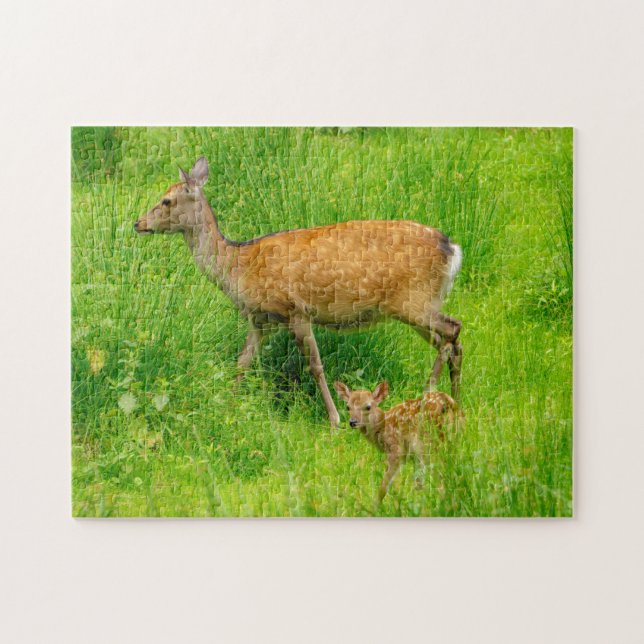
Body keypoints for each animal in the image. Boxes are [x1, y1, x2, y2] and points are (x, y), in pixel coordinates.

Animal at [134, 156, 463, 429]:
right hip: (418, 305)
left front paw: (335, 419)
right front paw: (228, 405)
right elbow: (242, 361)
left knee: (452, 329)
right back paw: (454, 400)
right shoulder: (261, 320)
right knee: (449, 341)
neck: (239, 267)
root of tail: (453, 249)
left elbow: (315, 366)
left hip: (413, 301)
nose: (138, 223)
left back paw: (429, 395)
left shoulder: (296, 310)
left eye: (166, 200)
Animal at [334, 381, 462, 501]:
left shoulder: (396, 451)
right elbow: (418, 483)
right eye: (348, 407)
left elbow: (384, 486)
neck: (383, 427)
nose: (352, 422)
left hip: (428, 444)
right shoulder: (415, 457)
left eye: (368, 406)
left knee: (440, 477)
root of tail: (447, 403)